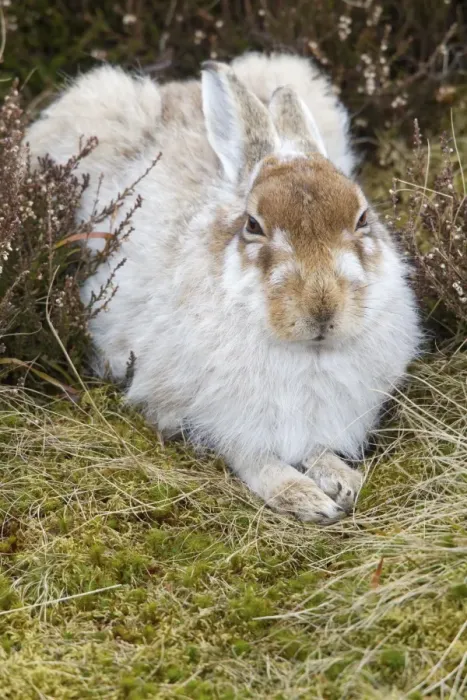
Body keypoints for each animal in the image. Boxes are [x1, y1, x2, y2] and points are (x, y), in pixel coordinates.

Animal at [26, 52, 420, 523]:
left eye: (362, 218)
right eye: (253, 224)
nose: (323, 308)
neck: (307, 352)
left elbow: (318, 448)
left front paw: (342, 479)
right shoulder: (205, 413)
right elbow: (252, 455)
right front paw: (302, 496)